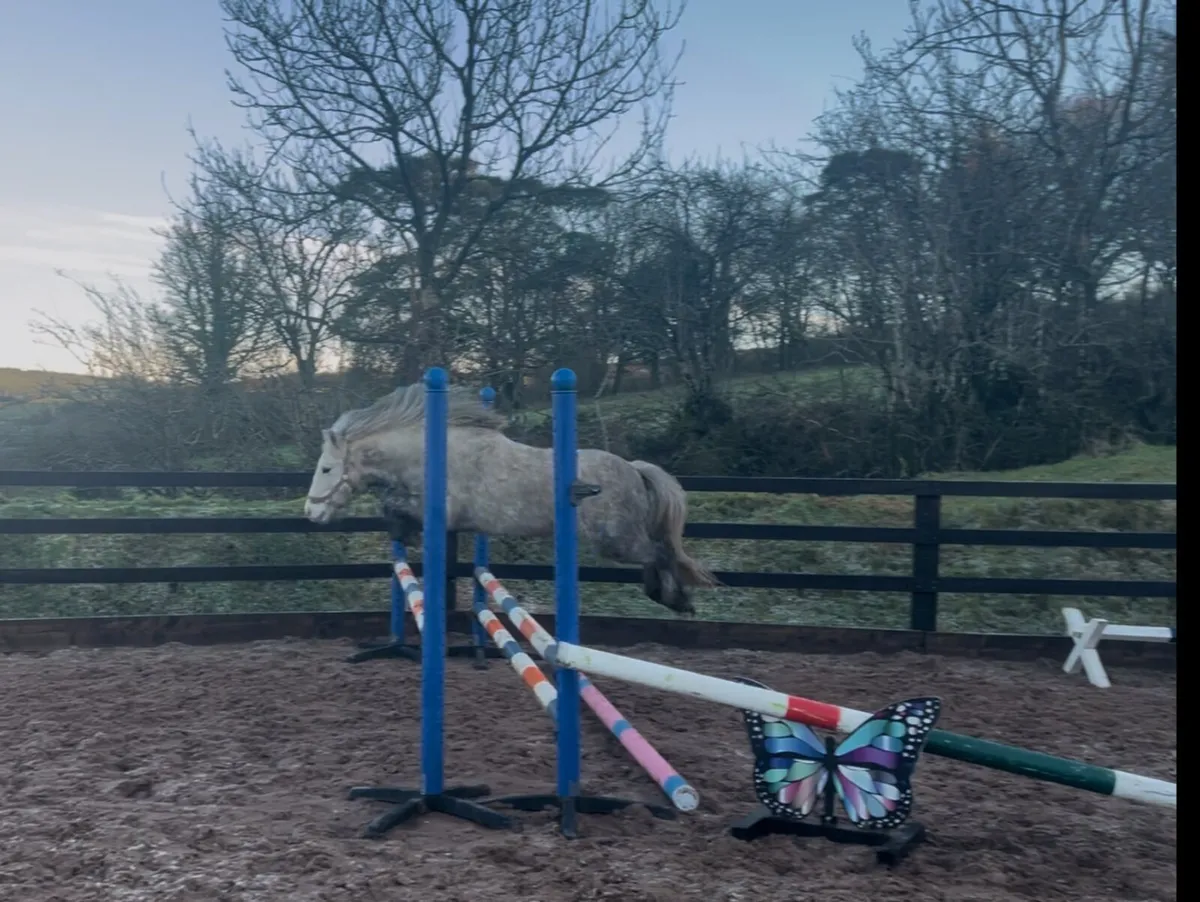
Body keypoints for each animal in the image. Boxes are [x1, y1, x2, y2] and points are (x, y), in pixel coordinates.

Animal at [303, 383, 717, 614]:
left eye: (326, 468)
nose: (310, 513)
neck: (432, 453)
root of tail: (633, 469)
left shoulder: (441, 512)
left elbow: (393, 506)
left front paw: (407, 534)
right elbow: (392, 508)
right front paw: (403, 535)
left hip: (616, 541)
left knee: (659, 553)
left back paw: (677, 600)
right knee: (658, 554)